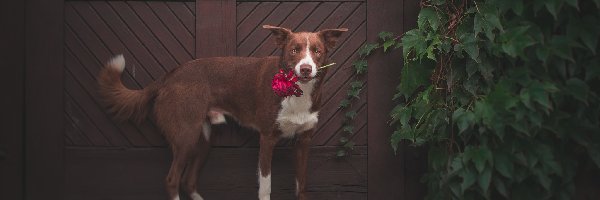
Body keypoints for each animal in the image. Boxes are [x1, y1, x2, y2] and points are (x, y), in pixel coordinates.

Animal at [95, 25, 346, 200]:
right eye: (294, 50)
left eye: (317, 51)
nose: (305, 69)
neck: (297, 91)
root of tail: (170, 75)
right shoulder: (267, 139)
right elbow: (266, 186)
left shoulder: (304, 141)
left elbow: (302, 186)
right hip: (186, 136)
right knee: (172, 179)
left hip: (203, 140)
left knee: (188, 180)